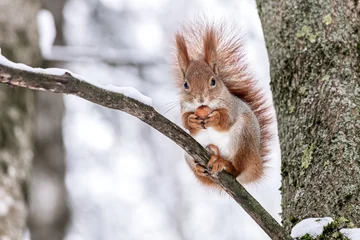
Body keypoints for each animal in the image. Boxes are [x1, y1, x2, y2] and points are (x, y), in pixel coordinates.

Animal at [174, 20, 272, 188]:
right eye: (185, 84)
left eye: (213, 81)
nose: (201, 99)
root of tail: (255, 168)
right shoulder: (184, 108)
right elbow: (186, 123)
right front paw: (191, 120)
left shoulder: (232, 107)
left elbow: (226, 120)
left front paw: (216, 118)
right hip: (187, 152)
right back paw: (201, 168)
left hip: (244, 137)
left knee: (237, 170)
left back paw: (224, 164)